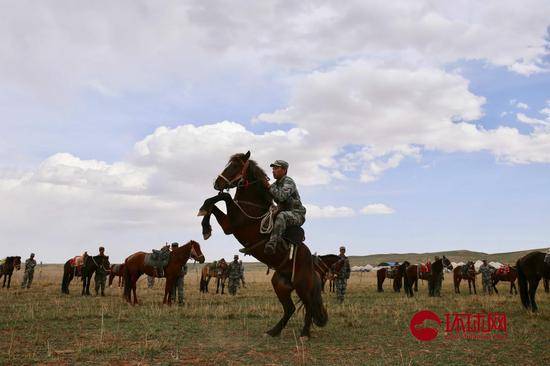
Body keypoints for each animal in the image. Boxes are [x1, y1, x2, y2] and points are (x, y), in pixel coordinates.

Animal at [198, 151, 328, 338]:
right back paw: (274, 331)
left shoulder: (232, 224)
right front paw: (205, 225)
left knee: (309, 305)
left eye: (235, 166)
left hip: (302, 286)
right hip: (280, 285)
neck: (253, 205)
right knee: (290, 308)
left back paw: (304, 333)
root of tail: (311, 261)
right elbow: (214, 203)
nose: (217, 183)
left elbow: (224, 197)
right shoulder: (228, 223)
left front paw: (205, 222)